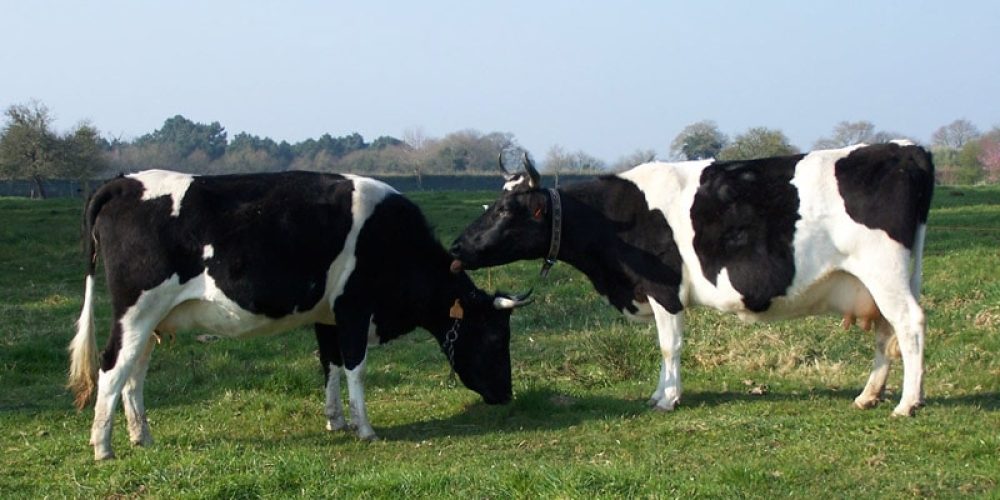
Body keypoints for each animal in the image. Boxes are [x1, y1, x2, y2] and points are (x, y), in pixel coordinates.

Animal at [69, 169, 531, 460]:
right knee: (112, 367)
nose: (507, 395)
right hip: (136, 309)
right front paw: (365, 429)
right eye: (495, 337)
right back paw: (103, 447)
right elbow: (355, 367)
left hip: (152, 319)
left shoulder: (326, 316)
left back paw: (141, 436)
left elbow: (329, 365)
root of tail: (123, 183)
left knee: (134, 374)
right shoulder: (353, 307)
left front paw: (336, 421)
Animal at [450, 142, 934, 417]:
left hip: (884, 269)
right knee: (887, 332)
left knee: (910, 325)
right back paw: (869, 395)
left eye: (506, 210)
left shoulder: (664, 290)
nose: (455, 247)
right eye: (492, 203)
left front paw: (668, 398)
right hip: (881, 280)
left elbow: (670, 345)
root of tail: (908, 149)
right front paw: (658, 394)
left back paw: (906, 403)